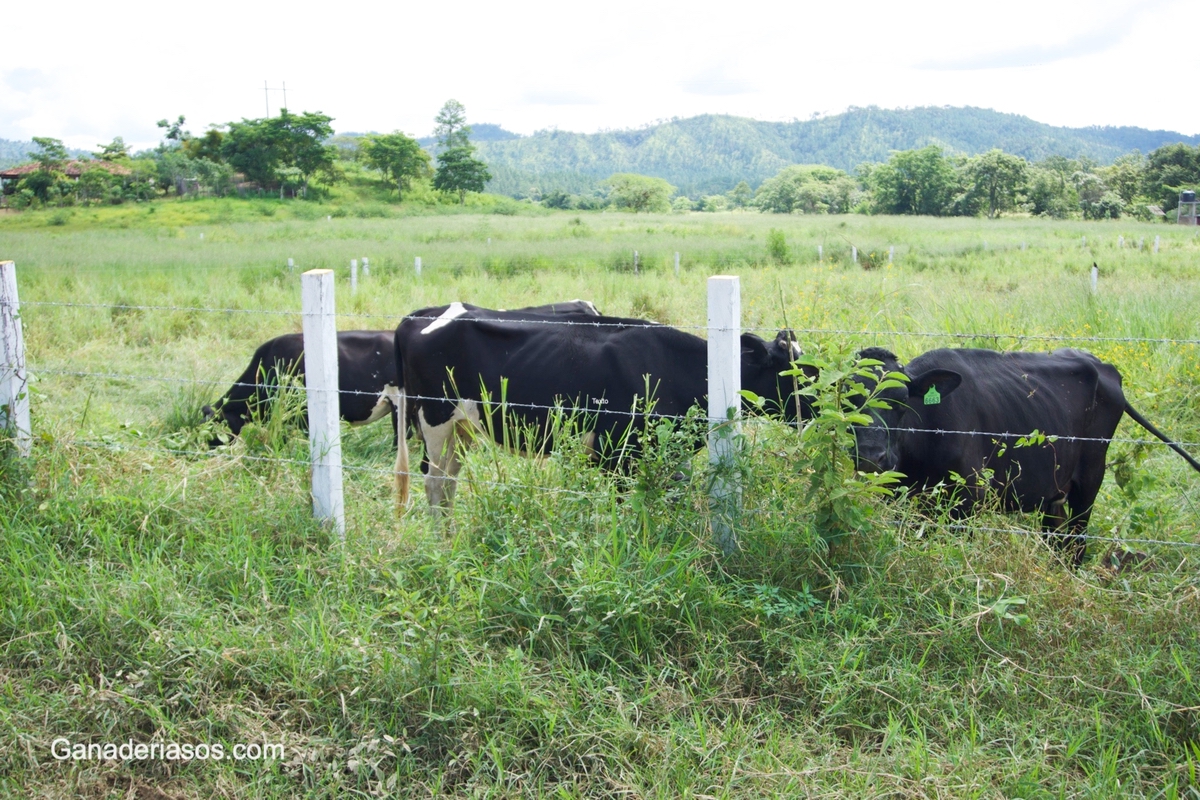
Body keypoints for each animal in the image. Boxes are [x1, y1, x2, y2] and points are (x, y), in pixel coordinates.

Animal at [393, 299, 806, 513]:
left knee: (449, 479)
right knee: (434, 481)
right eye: (796, 374)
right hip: (434, 418)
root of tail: (421, 314)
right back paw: (442, 541)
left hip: (463, 427)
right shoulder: (617, 456)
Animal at [854, 347, 1200, 566]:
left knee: (1077, 541)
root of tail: (1101, 366)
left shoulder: (968, 499)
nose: (870, 456)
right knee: (1055, 537)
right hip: (1055, 490)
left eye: (901, 401)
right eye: (847, 398)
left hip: (1090, 478)